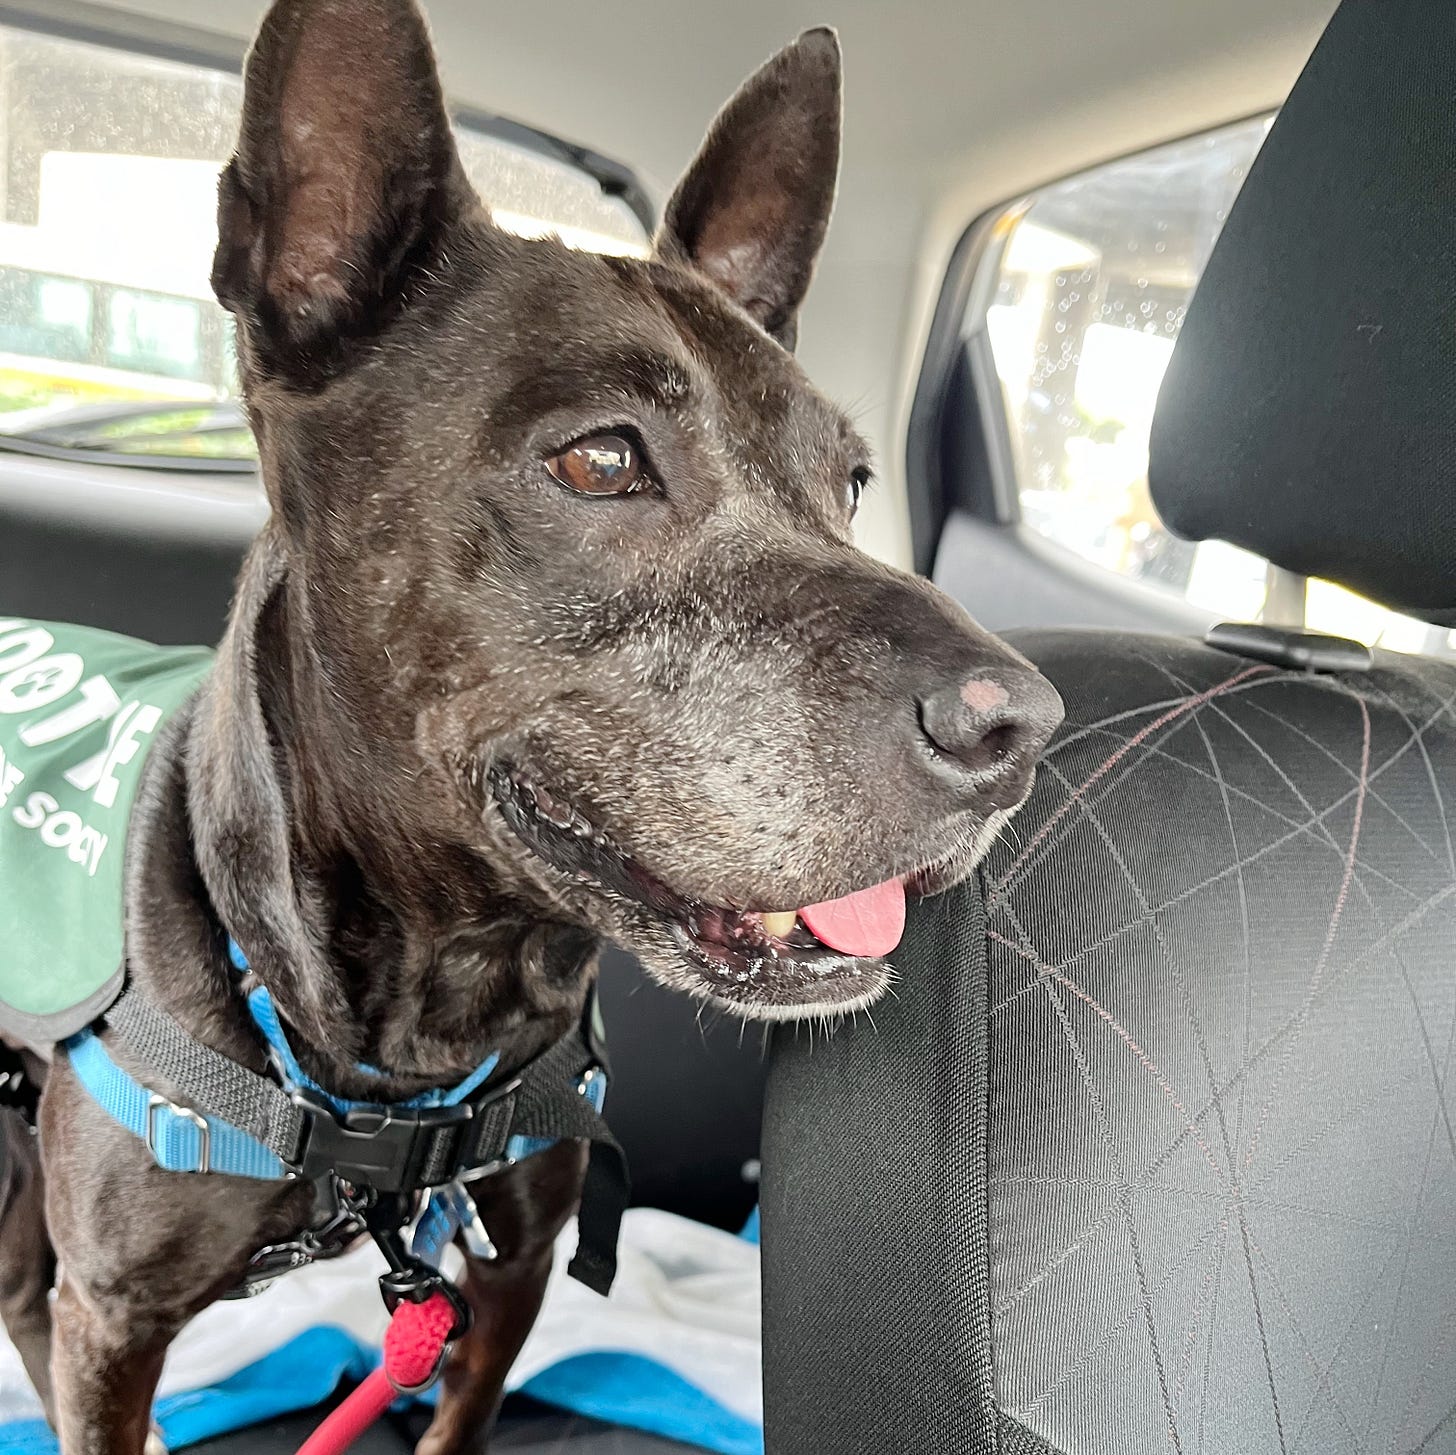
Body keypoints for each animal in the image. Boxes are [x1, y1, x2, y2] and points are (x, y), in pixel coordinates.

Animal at [2, 0, 1059, 1450]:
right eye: (601, 460)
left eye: (849, 481)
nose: (1022, 728)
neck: (415, 1030)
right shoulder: (115, 1319)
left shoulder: (509, 1271)